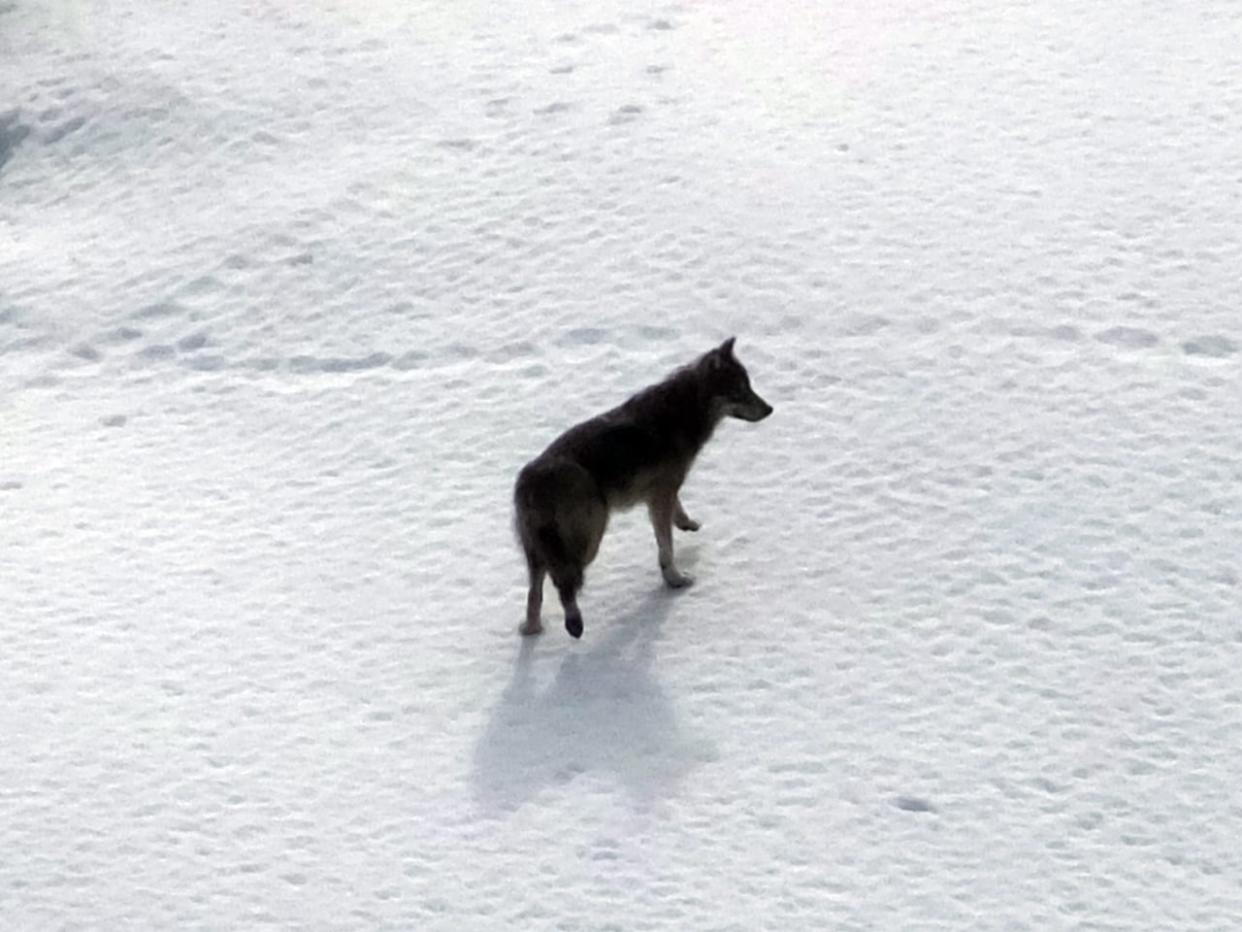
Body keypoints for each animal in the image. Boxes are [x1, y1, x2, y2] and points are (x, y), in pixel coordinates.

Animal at [511, 338, 765, 641]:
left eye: (749, 386)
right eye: (740, 390)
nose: (770, 409)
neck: (683, 410)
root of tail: (529, 480)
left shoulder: (662, 493)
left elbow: (677, 512)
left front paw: (687, 524)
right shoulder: (660, 495)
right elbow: (666, 548)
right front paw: (676, 580)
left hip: (538, 550)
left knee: (535, 592)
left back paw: (532, 630)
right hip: (589, 539)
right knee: (562, 582)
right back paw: (574, 624)